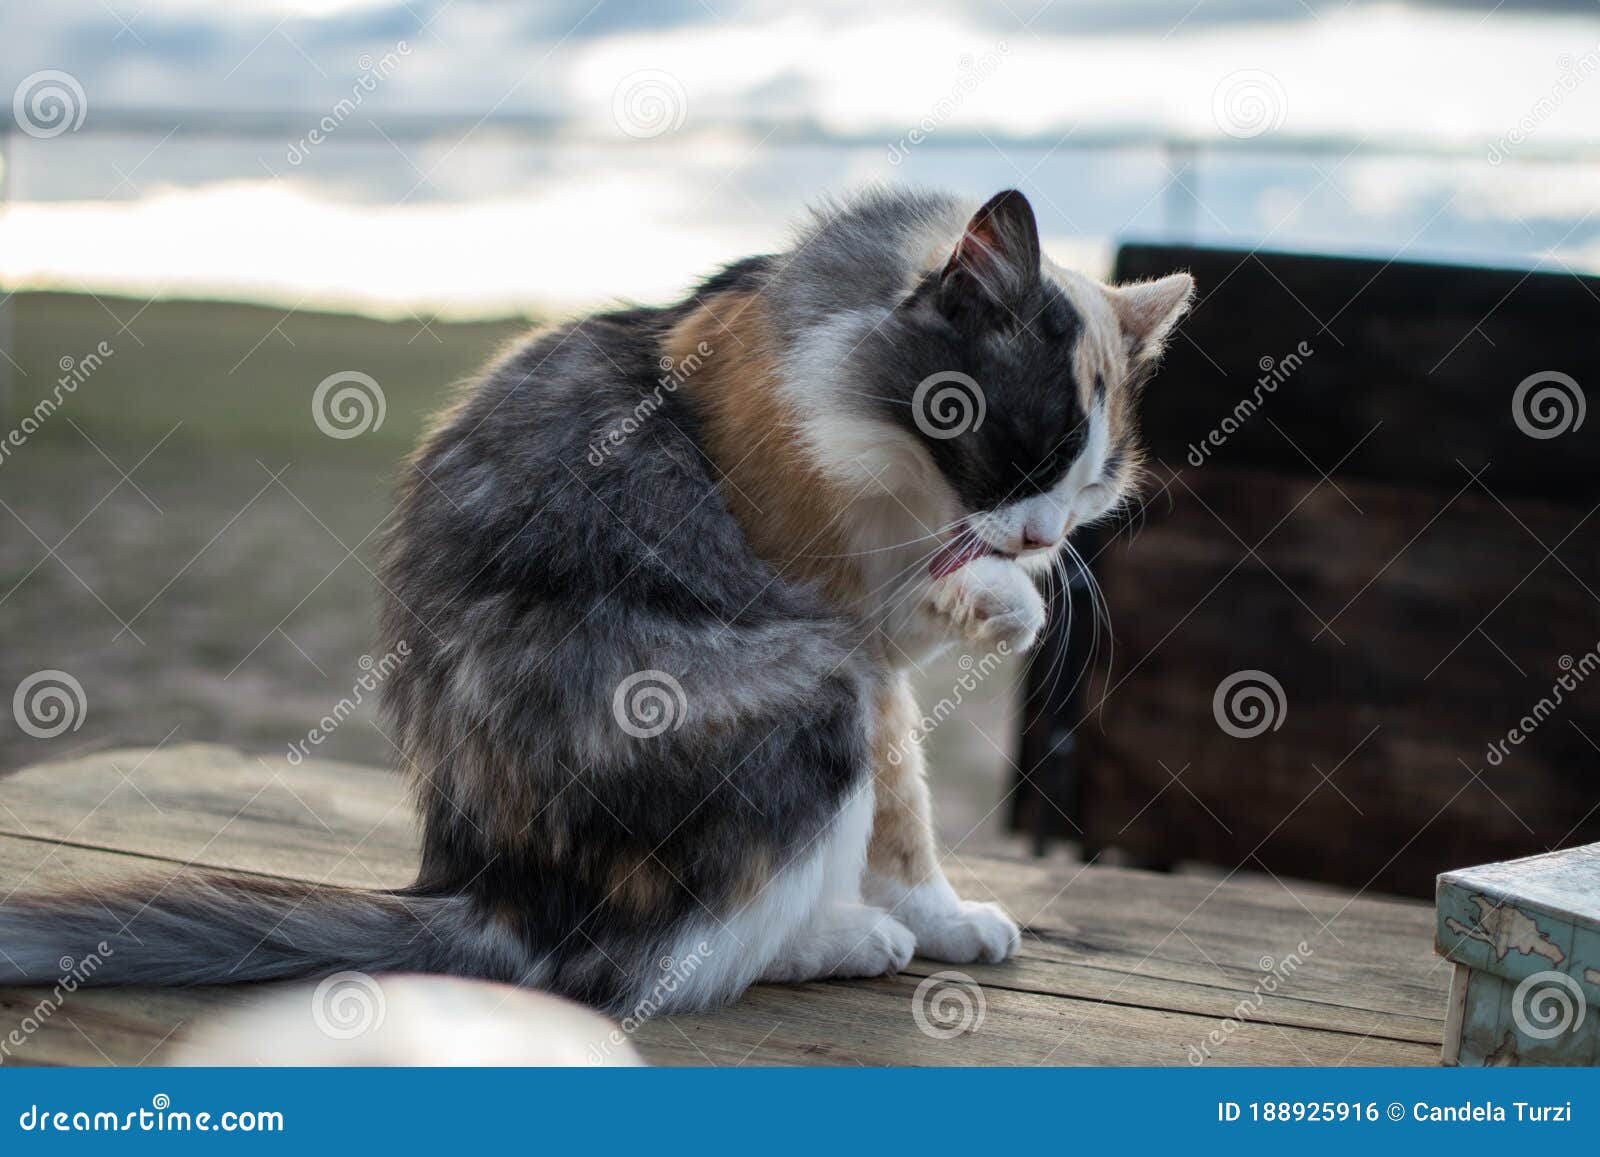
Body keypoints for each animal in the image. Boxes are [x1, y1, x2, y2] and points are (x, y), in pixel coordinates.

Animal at [0, 185, 1190, 1017]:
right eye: (1024, 447)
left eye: (1095, 480)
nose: (1041, 537)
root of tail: (488, 895)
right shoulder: (847, 622)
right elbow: (901, 787)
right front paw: (1004, 602)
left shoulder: (883, 635)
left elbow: (910, 799)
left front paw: (943, 911)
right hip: (806, 693)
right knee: (651, 964)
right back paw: (835, 940)